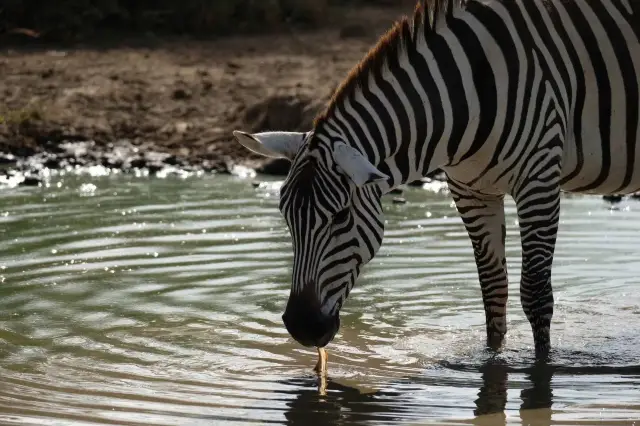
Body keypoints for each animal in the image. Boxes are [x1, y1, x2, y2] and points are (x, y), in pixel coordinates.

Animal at [232, 0, 640, 360]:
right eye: (286, 216)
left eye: (340, 217)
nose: (301, 328)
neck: (466, 94)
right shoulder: (470, 190)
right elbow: (493, 290)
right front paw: (492, 358)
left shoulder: (538, 178)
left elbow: (536, 295)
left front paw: (541, 372)